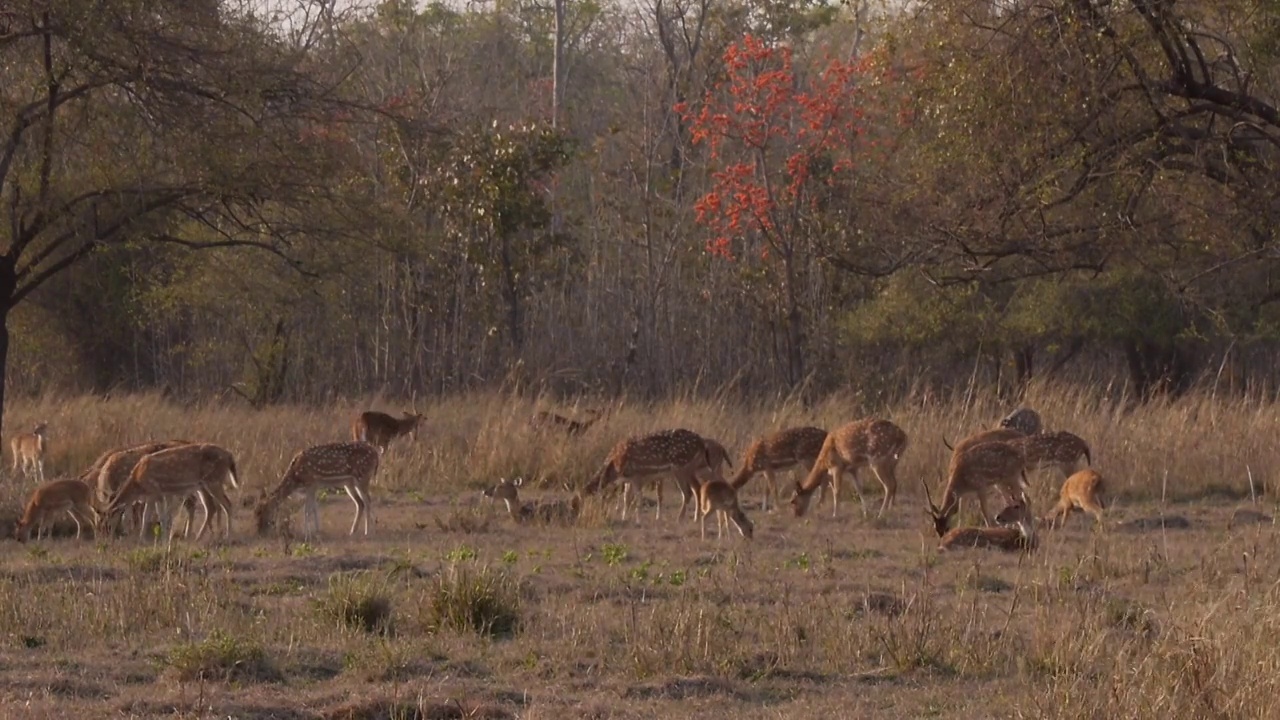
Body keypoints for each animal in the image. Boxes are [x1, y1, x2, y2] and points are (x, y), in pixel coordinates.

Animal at [102, 440, 240, 540]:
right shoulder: (160, 494)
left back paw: (228, 536)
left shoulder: (154, 492)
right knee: (212, 507)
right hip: (203, 485)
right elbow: (161, 515)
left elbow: (150, 516)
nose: (108, 536)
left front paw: (144, 538)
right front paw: (162, 536)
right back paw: (200, 537)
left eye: (108, 519)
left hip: (213, 481)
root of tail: (229, 456)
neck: (137, 481)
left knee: (227, 504)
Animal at [581, 425, 721, 520]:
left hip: (680, 467)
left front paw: (638, 519)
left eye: (578, 503)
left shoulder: (637, 476)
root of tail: (702, 442)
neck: (615, 465)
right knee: (698, 487)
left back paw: (680, 518)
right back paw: (696, 517)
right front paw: (624, 517)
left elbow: (638, 497)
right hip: (696, 467)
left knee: (688, 492)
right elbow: (627, 498)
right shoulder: (628, 480)